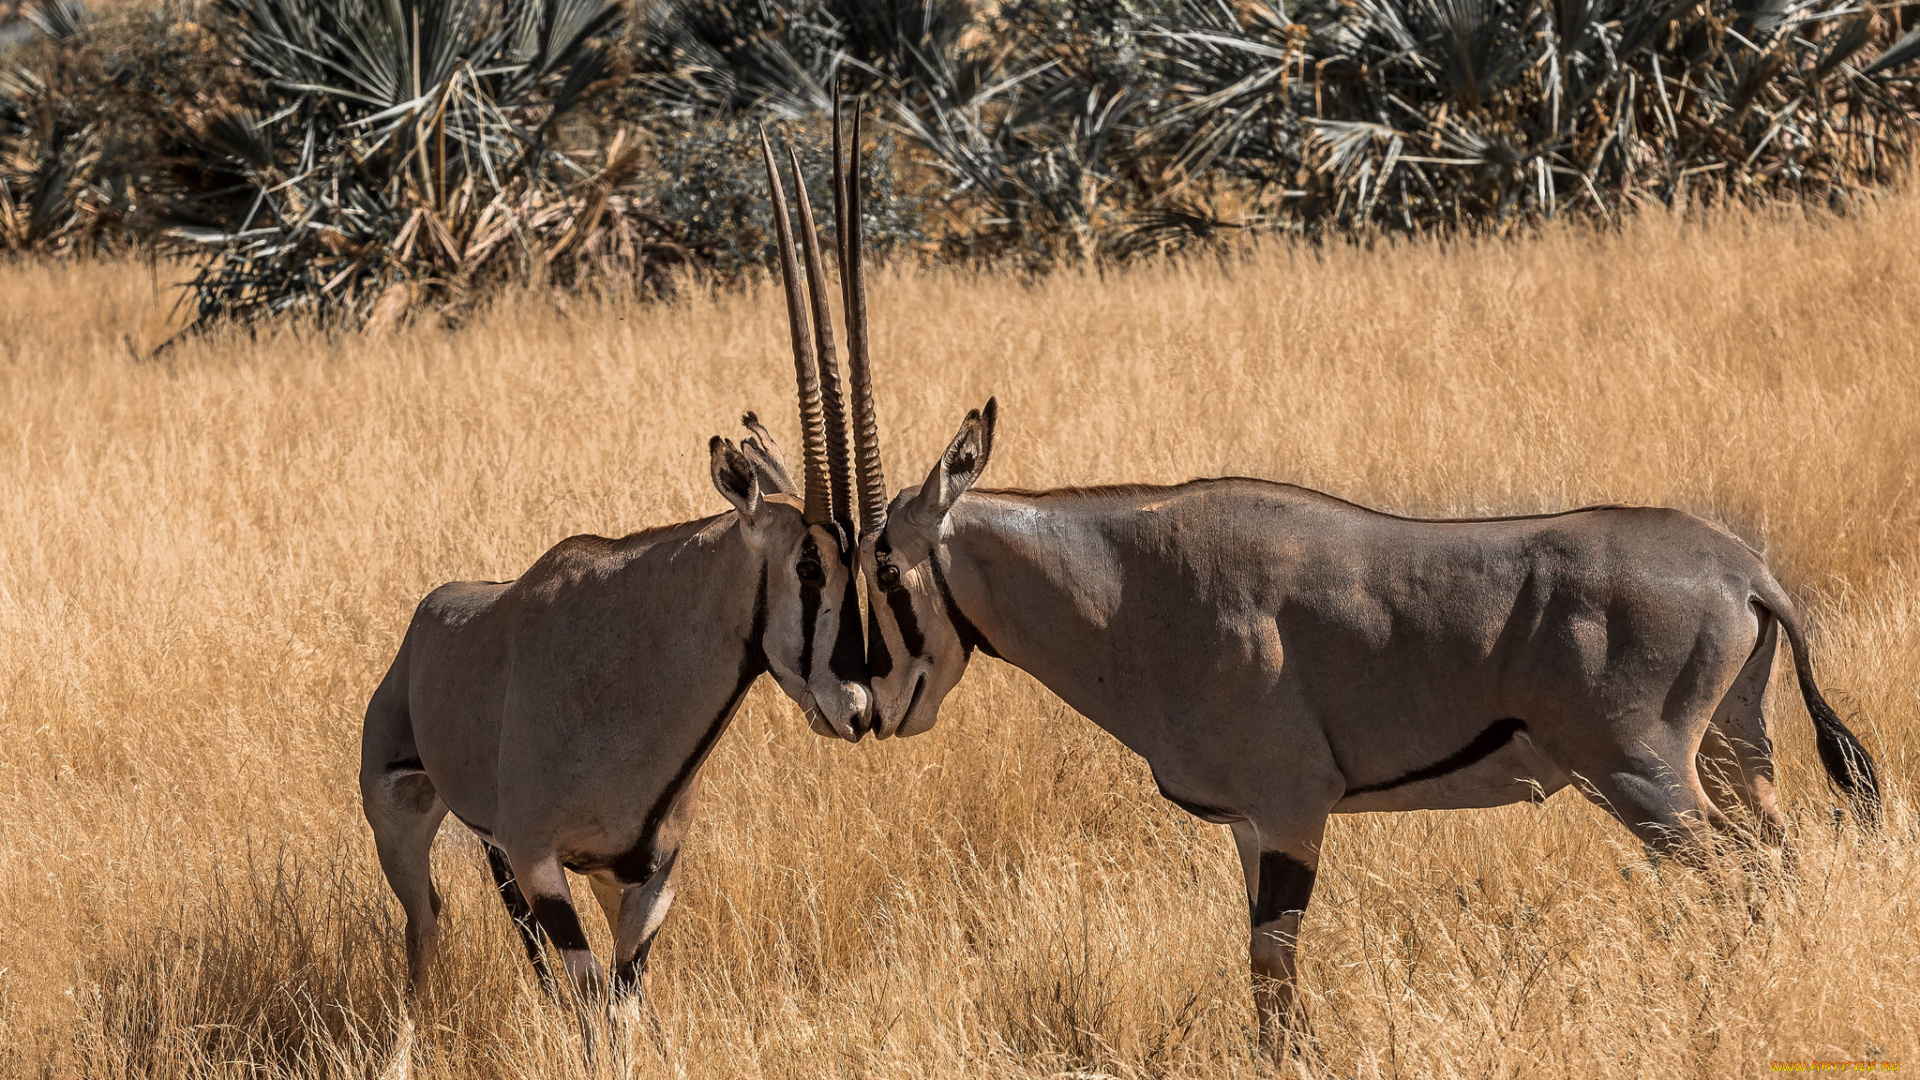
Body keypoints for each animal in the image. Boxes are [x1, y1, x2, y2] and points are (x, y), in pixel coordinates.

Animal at [357, 127, 875, 1006]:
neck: (636, 666)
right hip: (404, 827)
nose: (861, 706)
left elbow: (623, 999)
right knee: (424, 929)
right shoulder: (540, 859)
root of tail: (428, 619)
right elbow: (592, 1002)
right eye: (808, 566)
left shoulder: (646, 874)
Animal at [821, 176, 1873, 1053]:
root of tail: (1743, 570)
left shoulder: (1293, 808)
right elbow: (1261, 976)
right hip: (1734, 752)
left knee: (1737, 879)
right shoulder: (1250, 824)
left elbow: (1274, 971)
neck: (1128, 584)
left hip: (1642, 777)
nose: (857, 706)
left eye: (882, 562)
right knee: (1779, 864)